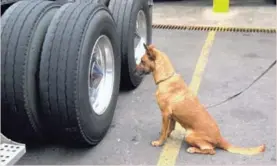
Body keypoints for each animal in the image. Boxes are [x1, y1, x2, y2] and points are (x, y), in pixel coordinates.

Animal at [134, 44, 266, 156]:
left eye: (142, 61)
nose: (133, 71)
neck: (166, 79)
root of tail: (220, 138)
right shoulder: (171, 116)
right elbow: (169, 129)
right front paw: (165, 135)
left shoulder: (165, 114)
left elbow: (164, 130)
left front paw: (159, 142)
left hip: (189, 135)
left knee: (211, 150)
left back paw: (193, 149)